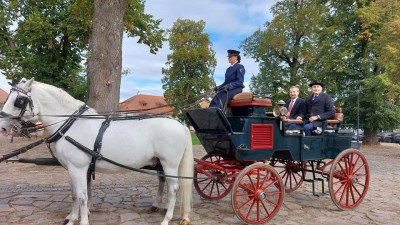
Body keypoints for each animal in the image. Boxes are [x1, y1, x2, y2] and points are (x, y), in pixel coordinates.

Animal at [0, 78, 194, 225]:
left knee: (174, 189)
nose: (2, 127)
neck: (71, 125)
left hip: (169, 164)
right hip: (161, 163)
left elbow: (82, 196)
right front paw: (72, 219)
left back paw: (166, 219)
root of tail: (180, 124)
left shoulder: (78, 168)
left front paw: (82, 221)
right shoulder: (73, 169)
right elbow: (75, 195)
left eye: (19, 100)